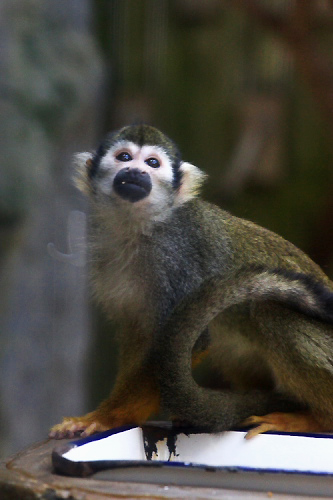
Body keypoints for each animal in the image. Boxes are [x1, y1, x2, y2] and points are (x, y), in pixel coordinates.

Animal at [48, 124, 332, 438]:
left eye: (152, 163)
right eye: (124, 157)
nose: (135, 172)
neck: (142, 227)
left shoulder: (178, 259)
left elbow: (186, 344)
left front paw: (109, 417)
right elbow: (139, 333)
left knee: (271, 311)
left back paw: (319, 420)